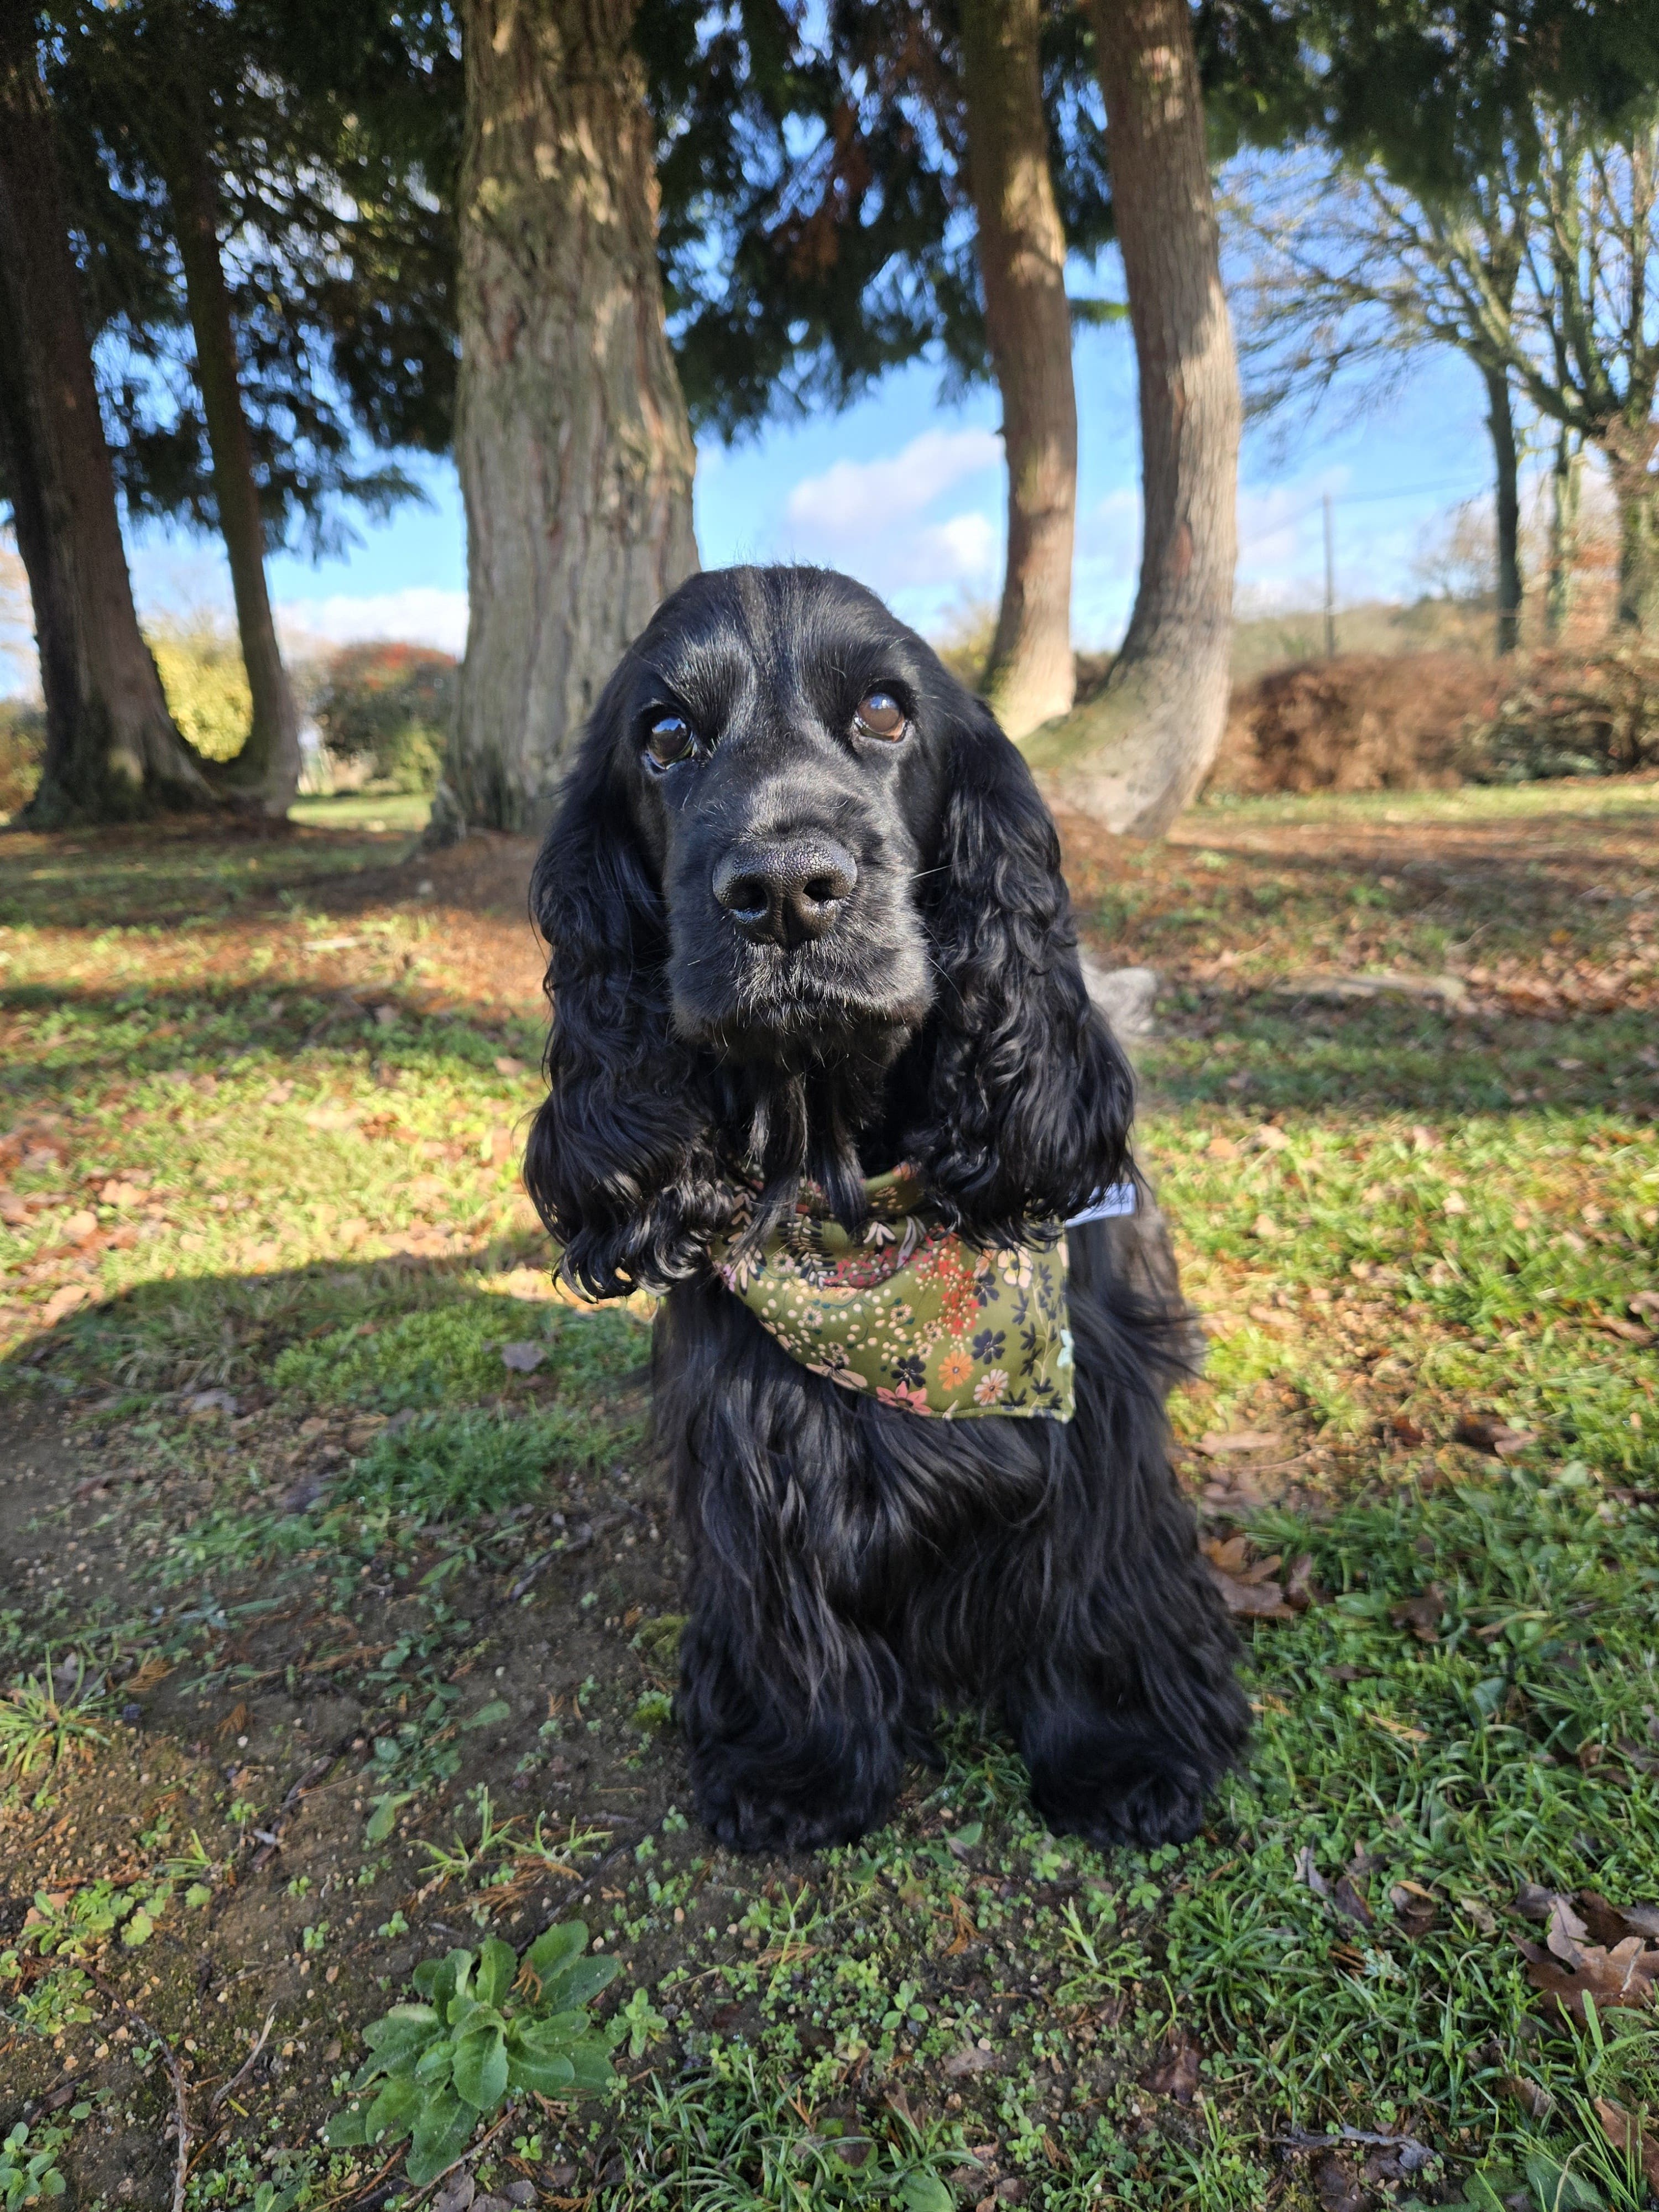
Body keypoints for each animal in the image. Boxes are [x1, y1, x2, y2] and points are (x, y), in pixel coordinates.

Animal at [525, 565, 1248, 1853]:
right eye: (663, 736)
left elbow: (1097, 1575)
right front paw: (798, 1766)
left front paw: (1127, 1754)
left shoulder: (1089, 1399)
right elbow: (782, 1592)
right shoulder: (748, 1428)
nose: (785, 893)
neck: (852, 1207)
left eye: (884, 710)